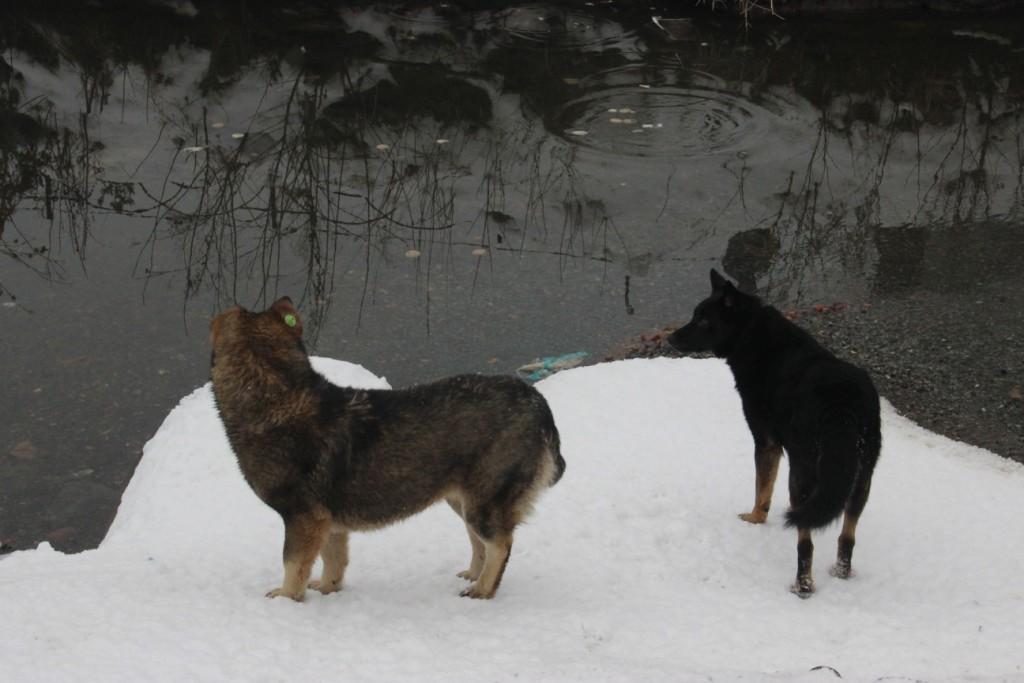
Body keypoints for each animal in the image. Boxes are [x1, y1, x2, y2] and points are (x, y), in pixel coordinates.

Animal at [206, 296, 561, 602]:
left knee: (500, 544)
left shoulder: (302, 518)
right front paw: (327, 590)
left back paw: (483, 590)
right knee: (480, 543)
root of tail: (536, 402)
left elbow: (293, 566)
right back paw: (473, 575)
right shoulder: (327, 522)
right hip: (462, 499)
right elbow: (333, 562)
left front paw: (286, 599)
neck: (277, 397)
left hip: (484, 502)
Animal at [671, 270, 880, 593]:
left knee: (806, 542)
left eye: (704, 321)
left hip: (803, 474)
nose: (670, 338)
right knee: (847, 536)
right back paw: (840, 572)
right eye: (695, 315)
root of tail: (842, 403)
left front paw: (754, 519)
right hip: (860, 475)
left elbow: (762, 488)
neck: (752, 335)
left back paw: (802, 586)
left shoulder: (766, 441)